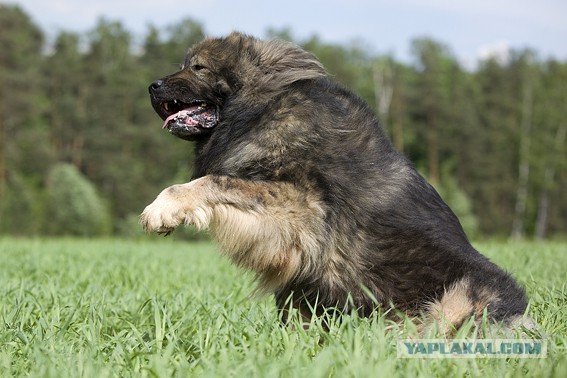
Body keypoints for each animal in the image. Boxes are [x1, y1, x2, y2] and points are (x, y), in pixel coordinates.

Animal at [140, 32, 532, 334]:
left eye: (198, 67)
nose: (152, 86)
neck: (261, 107)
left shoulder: (301, 210)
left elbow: (212, 182)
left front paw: (161, 210)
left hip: (459, 297)